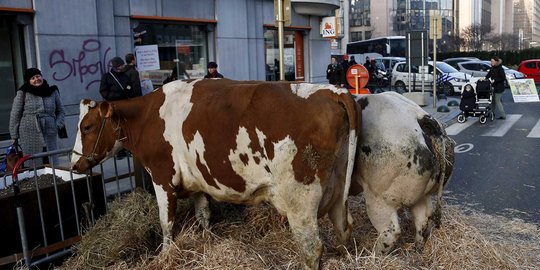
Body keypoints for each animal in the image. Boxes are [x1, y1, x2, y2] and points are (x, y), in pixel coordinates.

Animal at [70, 78, 358, 270]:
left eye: (87, 127)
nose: (73, 164)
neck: (147, 116)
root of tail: (331, 91)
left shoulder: (162, 178)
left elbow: (166, 222)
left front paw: (164, 256)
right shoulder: (198, 182)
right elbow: (203, 215)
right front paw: (208, 240)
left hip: (300, 198)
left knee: (311, 247)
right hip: (338, 187)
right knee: (343, 228)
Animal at [350, 92, 456, 255]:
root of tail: (424, 119)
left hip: (379, 197)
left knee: (390, 232)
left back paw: (371, 255)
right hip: (422, 195)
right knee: (423, 220)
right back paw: (416, 251)